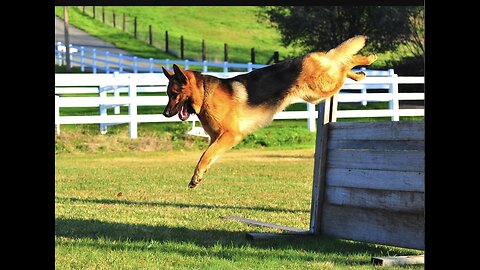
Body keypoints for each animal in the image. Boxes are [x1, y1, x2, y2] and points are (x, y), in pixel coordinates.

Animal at [163, 35, 376, 188]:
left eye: (173, 94)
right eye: (167, 94)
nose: (164, 114)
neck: (205, 94)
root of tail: (309, 56)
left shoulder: (231, 135)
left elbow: (205, 156)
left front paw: (197, 175)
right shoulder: (217, 138)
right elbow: (208, 155)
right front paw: (199, 176)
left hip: (322, 86)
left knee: (344, 63)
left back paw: (367, 59)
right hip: (319, 91)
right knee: (340, 62)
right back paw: (359, 73)